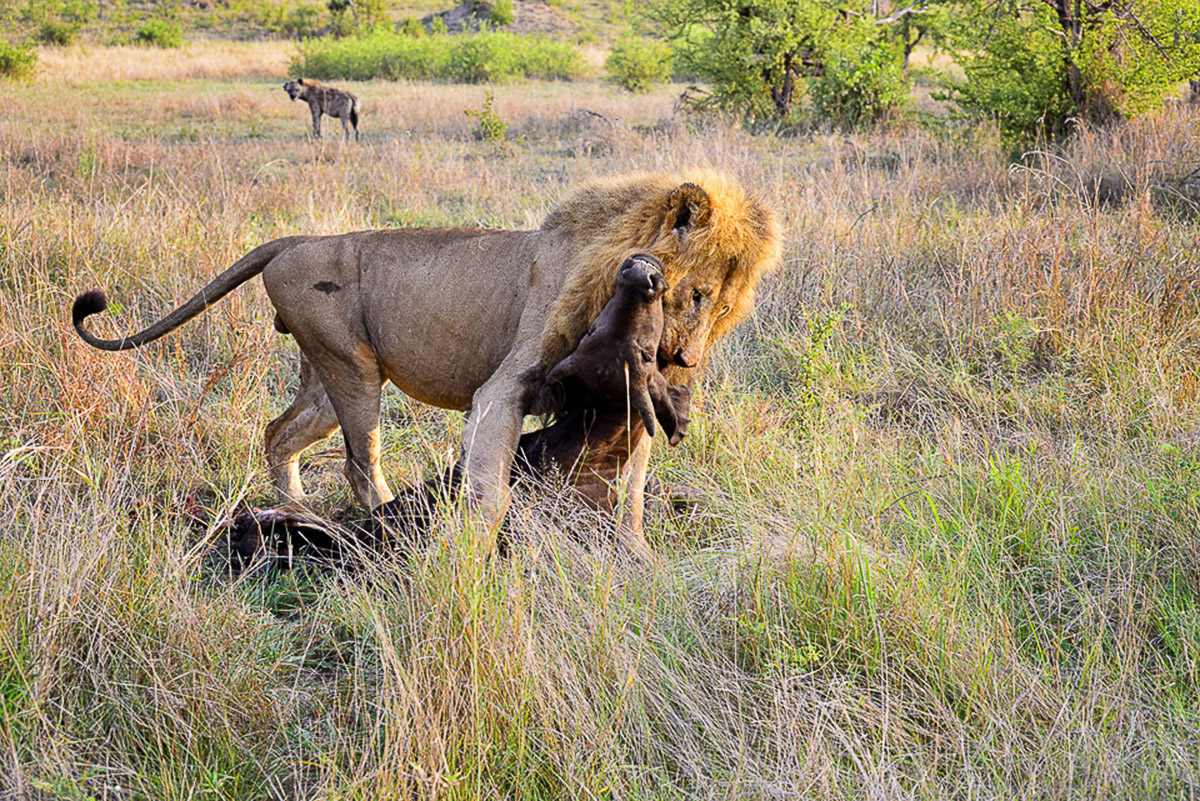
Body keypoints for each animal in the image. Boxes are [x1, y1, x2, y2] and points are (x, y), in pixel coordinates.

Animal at [71, 170, 782, 554]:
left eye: (724, 308)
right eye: (698, 294)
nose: (687, 358)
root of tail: (297, 240)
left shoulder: (632, 408)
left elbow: (631, 490)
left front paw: (633, 552)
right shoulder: (505, 388)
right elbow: (488, 490)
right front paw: (473, 560)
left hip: (327, 375)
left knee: (279, 433)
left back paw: (299, 512)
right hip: (353, 374)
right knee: (360, 464)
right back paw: (376, 525)